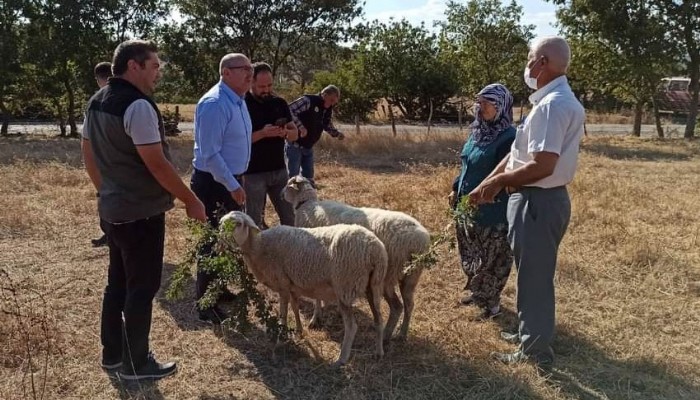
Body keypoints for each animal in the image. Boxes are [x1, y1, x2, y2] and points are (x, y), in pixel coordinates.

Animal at [219, 211, 388, 368]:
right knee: (378, 319)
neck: (258, 247)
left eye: (238, 224)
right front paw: (299, 331)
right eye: (221, 223)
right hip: (374, 286)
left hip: (345, 287)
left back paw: (341, 359)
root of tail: (375, 249)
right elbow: (295, 308)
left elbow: (283, 315)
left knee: (352, 327)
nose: (221, 237)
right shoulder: (292, 286)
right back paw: (379, 352)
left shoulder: (282, 285)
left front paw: (280, 339)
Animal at [284, 176, 432, 340]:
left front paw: (316, 318)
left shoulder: (314, 260)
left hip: (388, 275)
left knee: (396, 306)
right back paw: (401, 334)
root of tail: (420, 239)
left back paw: (386, 335)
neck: (307, 205)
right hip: (411, 276)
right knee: (408, 305)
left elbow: (316, 297)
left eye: (287, 184)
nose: (281, 193)